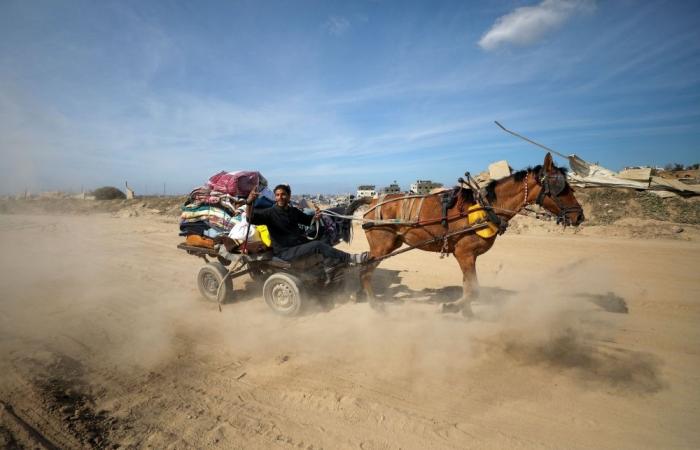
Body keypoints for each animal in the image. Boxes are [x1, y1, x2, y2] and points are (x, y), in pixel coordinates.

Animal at [360, 153, 584, 314]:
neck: (488, 207)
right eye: (560, 187)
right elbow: (474, 290)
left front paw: (466, 312)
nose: (579, 216)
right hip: (382, 246)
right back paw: (373, 304)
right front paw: (452, 306)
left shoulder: (469, 256)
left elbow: (468, 286)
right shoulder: (464, 254)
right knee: (365, 270)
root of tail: (372, 201)